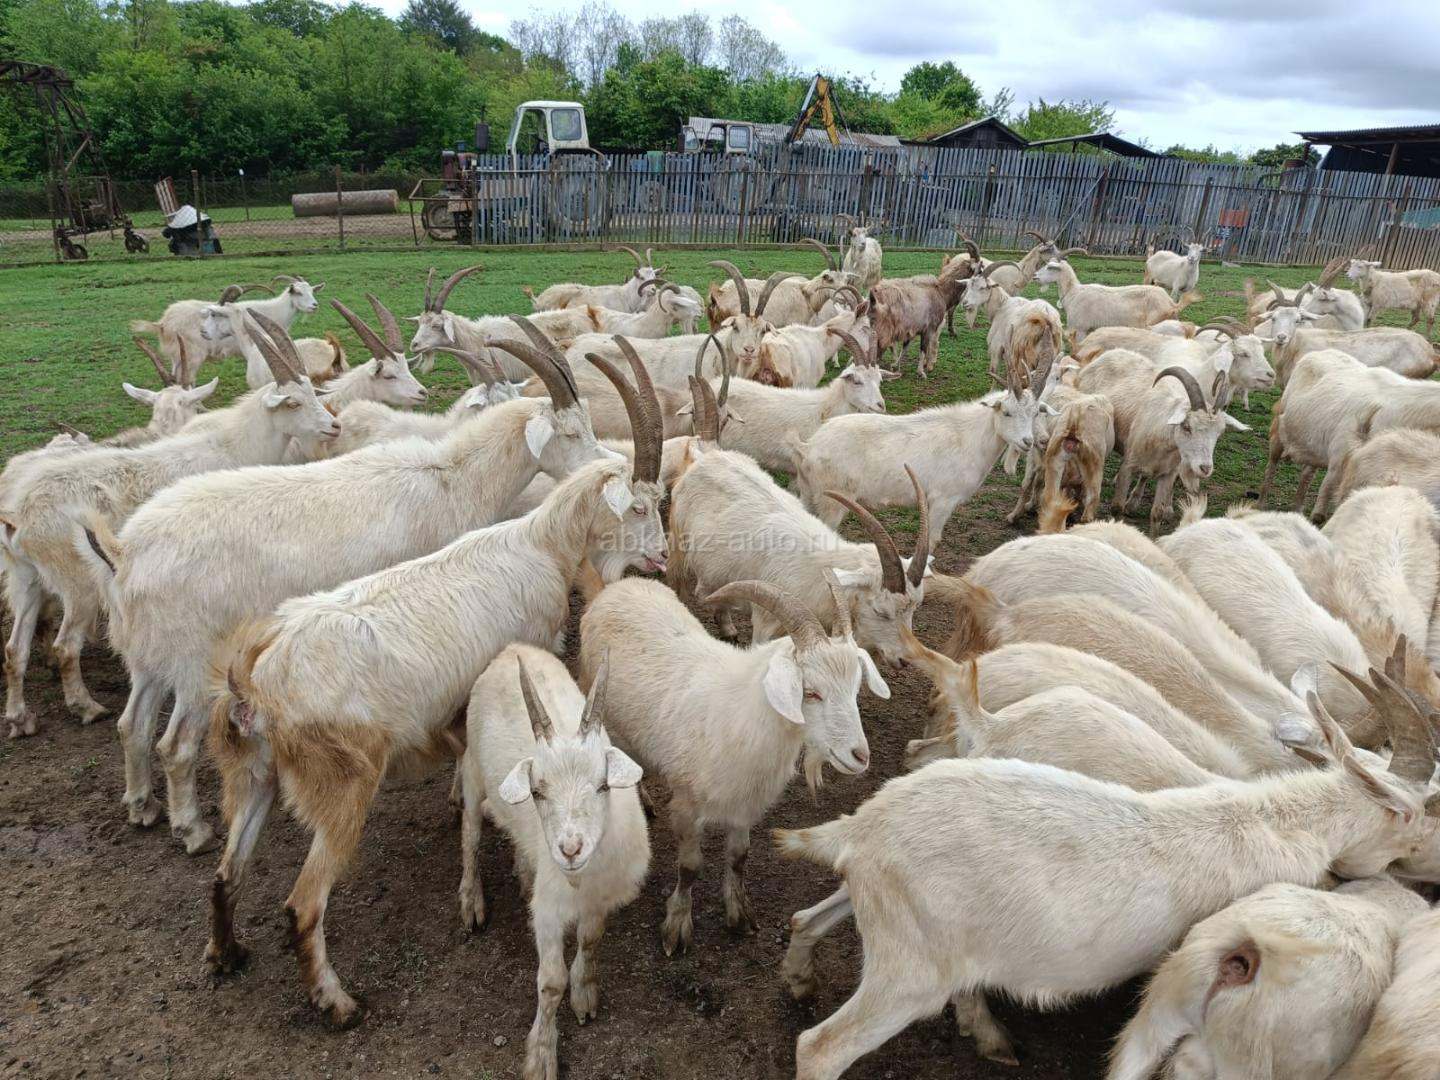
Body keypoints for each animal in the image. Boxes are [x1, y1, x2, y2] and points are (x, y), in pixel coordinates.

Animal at [1, 316, 337, 738]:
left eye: (312, 391)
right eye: (293, 402)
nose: (333, 426)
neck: (229, 445)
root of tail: (19, 514)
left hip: (25, 577)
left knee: (15, 647)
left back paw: (20, 718)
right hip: (77, 584)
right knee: (65, 646)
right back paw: (86, 706)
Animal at [203, 454, 667, 1026]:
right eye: (640, 506)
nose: (662, 557)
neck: (542, 545)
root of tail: (253, 687)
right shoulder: (527, 655)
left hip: (254, 774)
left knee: (226, 874)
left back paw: (226, 954)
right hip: (342, 783)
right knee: (303, 905)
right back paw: (338, 1003)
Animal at [460, 645, 648, 1079]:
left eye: (603, 784)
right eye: (537, 791)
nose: (570, 849)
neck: (584, 880)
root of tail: (512, 649)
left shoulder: (599, 898)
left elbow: (591, 939)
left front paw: (585, 994)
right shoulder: (548, 909)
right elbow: (550, 983)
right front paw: (542, 1054)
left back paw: (524, 869)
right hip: (474, 771)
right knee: (470, 833)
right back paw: (471, 899)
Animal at [580, 577, 886, 955]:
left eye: (856, 687)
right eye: (811, 692)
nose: (860, 756)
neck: (741, 713)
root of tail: (619, 585)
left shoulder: (746, 804)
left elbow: (739, 856)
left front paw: (739, 913)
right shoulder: (685, 804)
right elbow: (689, 867)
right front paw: (677, 924)